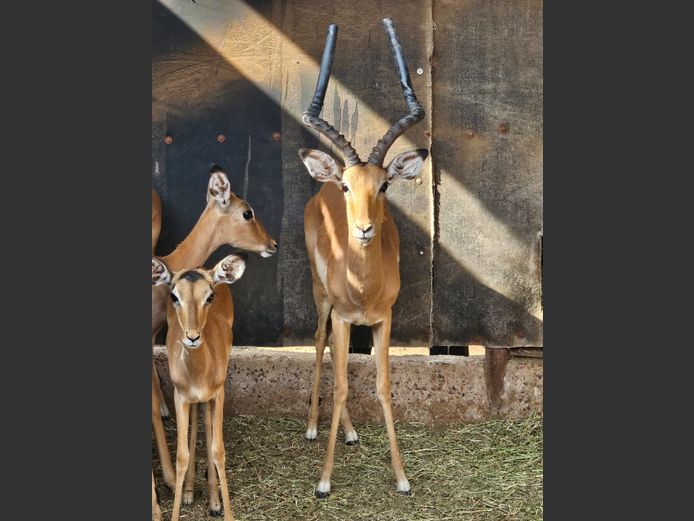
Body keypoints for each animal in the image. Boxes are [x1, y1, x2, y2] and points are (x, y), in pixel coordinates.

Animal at [152, 254, 247, 521]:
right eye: (174, 296)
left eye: (209, 296)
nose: (192, 337)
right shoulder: (180, 397)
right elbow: (182, 456)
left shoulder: (219, 394)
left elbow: (218, 451)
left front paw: (224, 511)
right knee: (198, 417)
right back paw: (190, 491)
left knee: (206, 419)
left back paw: (213, 501)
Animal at [299, 19, 428, 498]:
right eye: (348, 186)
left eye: (384, 185)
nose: (364, 229)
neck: (363, 286)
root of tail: (319, 186)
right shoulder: (340, 316)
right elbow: (339, 385)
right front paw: (323, 481)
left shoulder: (381, 319)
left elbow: (383, 386)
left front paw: (402, 477)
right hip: (321, 299)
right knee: (320, 342)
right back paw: (313, 428)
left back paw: (351, 431)